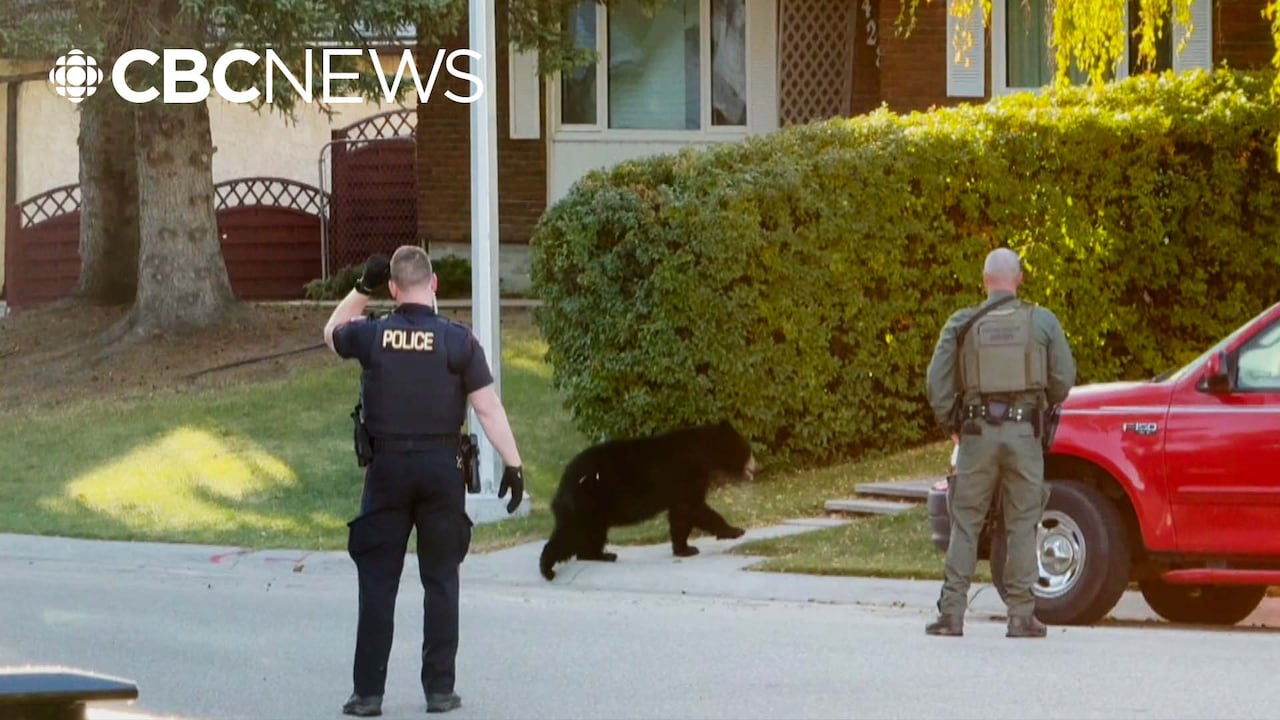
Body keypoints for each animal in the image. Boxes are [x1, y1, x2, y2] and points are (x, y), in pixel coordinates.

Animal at [539, 420, 758, 580]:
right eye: (748, 449)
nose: (757, 466)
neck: (702, 452)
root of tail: (561, 485)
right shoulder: (687, 474)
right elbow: (694, 507)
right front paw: (735, 530)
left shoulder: (680, 486)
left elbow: (680, 515)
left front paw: (685, 549)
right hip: (586, 501)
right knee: (571, 534)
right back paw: (548, 568)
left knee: (592, 533)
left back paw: (601, 555)